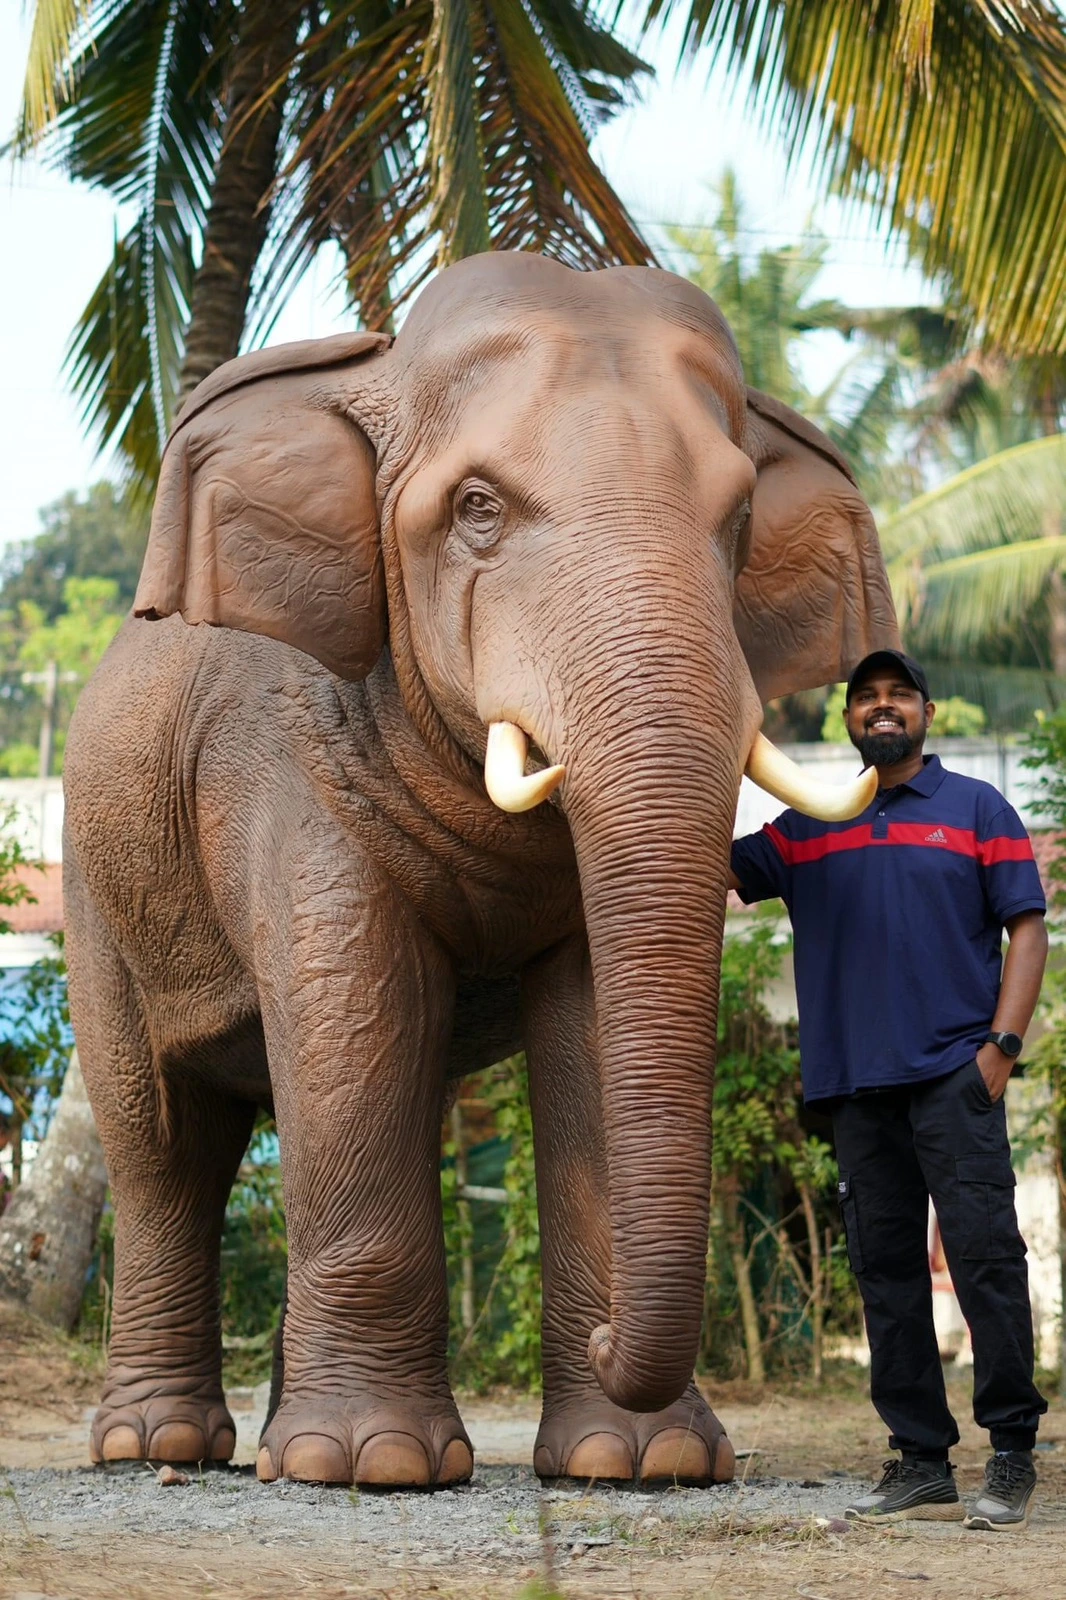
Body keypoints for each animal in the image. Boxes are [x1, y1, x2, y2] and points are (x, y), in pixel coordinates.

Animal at [62, 250, 896, 1490]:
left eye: (740, 515)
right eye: (477, 510)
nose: (611, 1339)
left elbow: (583, 1024)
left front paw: (637, 1462)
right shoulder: (285, 763)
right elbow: (351, 1018)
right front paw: (370, 1465)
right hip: (96, 892)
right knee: (167, 1147)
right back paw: (155, 1445)